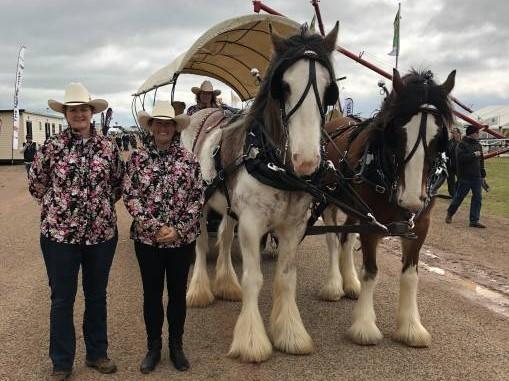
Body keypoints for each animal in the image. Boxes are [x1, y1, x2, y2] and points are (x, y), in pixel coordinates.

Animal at [181, 25, 340, 360]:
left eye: (329, 90)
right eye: (284, 87)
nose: (306, 162)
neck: (273, 163)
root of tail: (203, 113)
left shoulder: (293, 227)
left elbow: (286, 278)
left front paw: (290, 333)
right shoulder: (252, 224)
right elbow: (254, 279)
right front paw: (252, 341)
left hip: (228, 205)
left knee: (225, 236)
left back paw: (226, 283)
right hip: (199, 202)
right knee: (201, 243)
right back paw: (200, 289)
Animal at [320, 67, 454, 346]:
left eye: (440, 138)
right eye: (398, 133)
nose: (411, 199)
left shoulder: (419, 225)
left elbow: (411, 274)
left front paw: (411, 326)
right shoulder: (372, 225)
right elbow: (371, 271)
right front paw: (364, 325)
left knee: (346, 239)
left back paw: (349, 282)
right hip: (328, 200)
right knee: (333, 240)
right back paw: (334, 285)